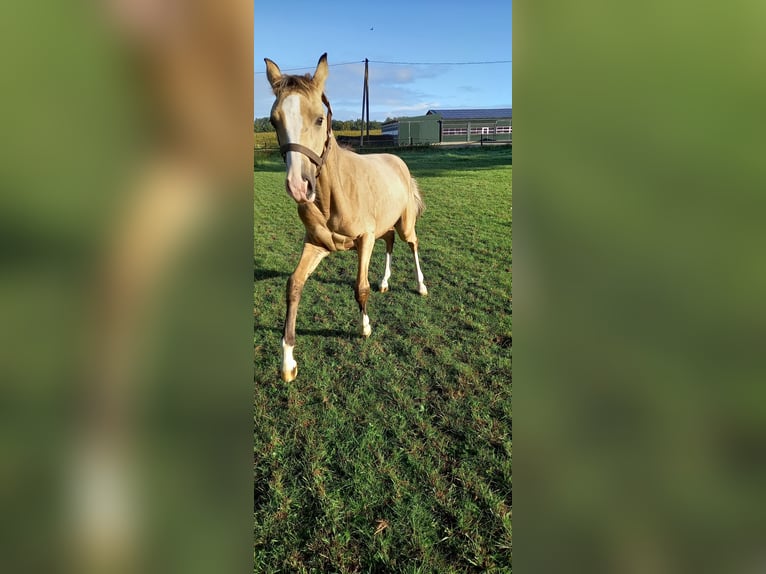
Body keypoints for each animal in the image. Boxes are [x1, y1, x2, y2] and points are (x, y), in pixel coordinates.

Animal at [266, 53, 432, 382]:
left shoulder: (364, 240)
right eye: (273, 120)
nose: (298, 186)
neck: (333, 194)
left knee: (412, 243)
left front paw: (365, 328)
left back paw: (421, 286)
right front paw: (288, 361)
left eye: (319, 118)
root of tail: (398, 161)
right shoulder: (316, 244)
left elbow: (360, 287)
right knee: (390, 242)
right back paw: (385, 282)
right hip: (385, 225)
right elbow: (294, 285)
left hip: (405, 224)